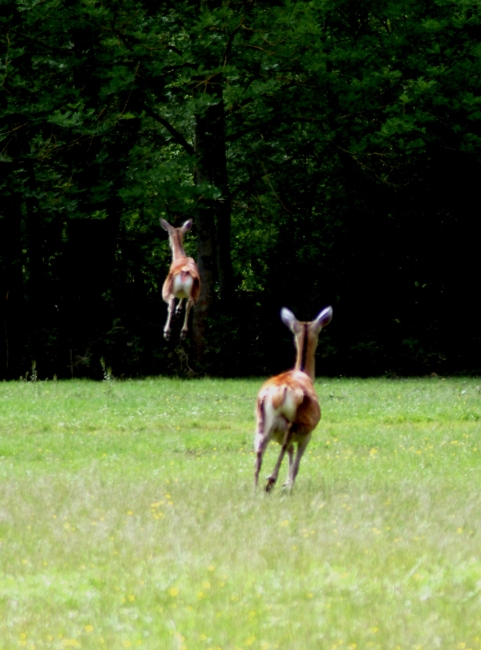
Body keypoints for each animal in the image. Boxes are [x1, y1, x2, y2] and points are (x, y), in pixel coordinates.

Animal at [253, 306, 332, 488]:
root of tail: (279, 392)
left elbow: (291, 453)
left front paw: (287, 483)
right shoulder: (308, 434)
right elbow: (296, 461)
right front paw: (289, 484)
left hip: (262, 423)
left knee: (259, 451)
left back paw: (256, 487)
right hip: (294, 423)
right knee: (285, 445)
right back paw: (271, 481)